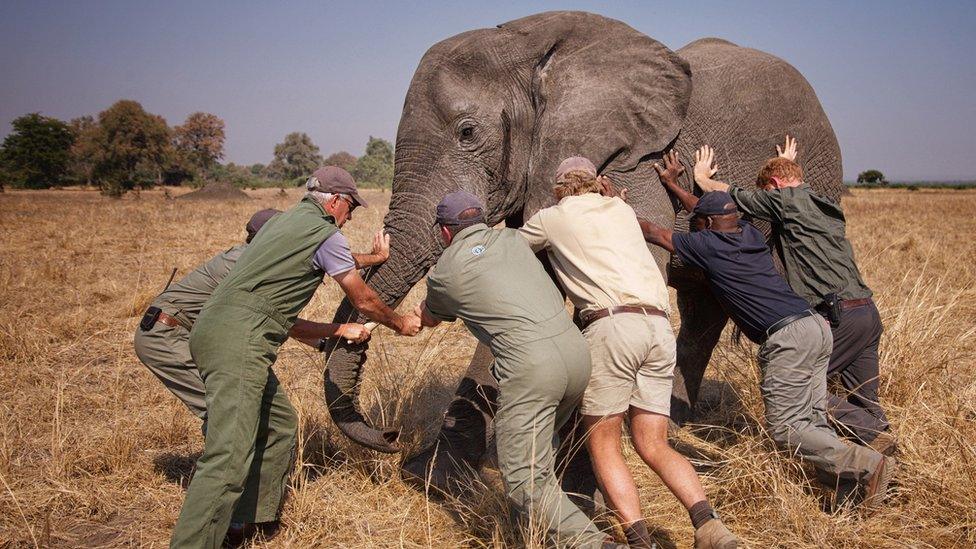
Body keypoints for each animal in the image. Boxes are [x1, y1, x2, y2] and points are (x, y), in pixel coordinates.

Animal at [322, 10, 848, 492]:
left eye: (468, 132)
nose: (390, 436)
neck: (529, 47)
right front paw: (436, 477)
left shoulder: (633, 164)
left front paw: (572, 475)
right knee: (702, 309)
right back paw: (673, 423)